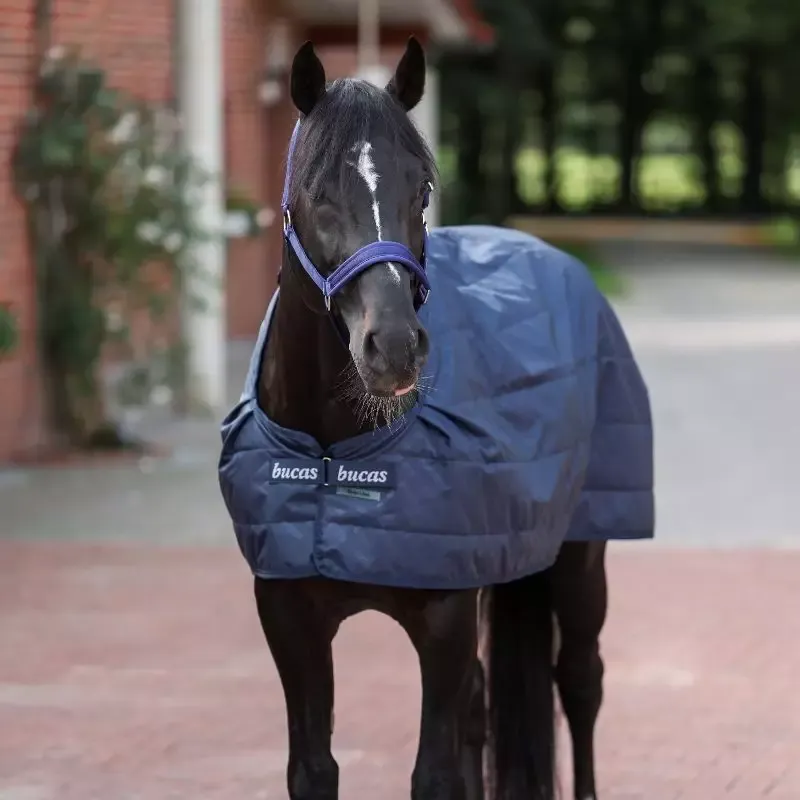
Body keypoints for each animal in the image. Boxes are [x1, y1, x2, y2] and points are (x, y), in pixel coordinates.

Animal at [218, 38, 653, 800]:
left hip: (580, 557)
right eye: (316, 191)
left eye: (421, 189)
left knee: (580, 683)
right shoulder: (290, 624)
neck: (336, 459)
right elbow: (314, 769)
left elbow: (435, 774)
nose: (393, 346)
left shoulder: (444, 623)